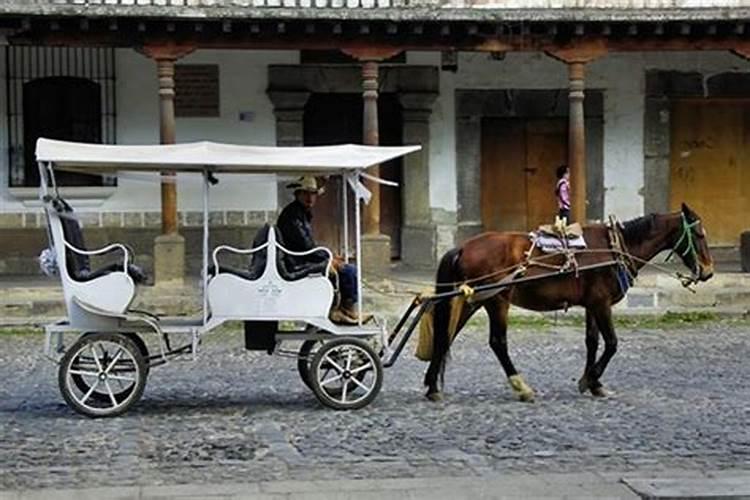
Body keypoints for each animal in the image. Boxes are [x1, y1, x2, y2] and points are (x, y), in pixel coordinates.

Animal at [426, 203, 712, 402]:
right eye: (699, 234)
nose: (708, 272)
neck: (615, 248)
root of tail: (463, 247)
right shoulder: (602, 303)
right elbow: (611, 343)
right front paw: (591, 379)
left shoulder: (592, 304)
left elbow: (592, 341)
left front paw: (594, 383)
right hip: (496, 300)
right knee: (497, 342)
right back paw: (522, 387)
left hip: (472, 300)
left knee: (445, 336)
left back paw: (431, 386)